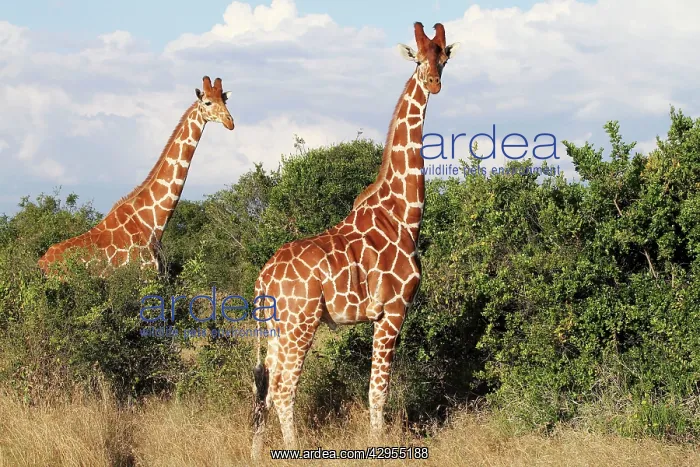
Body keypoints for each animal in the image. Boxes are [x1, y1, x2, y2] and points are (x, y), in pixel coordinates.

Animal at [37, 76, 235, 277]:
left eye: (224, 101)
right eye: (208, 102)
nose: (230, 122)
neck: (153, 224)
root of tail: (41, 263)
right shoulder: (144, 275)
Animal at [250, 22, 459, 458]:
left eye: (444, 58)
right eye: (418, 59)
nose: (433, 83)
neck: (404, 214)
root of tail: (263, 280)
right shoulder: (393, 309)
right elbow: (378, 390)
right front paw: (379, 444)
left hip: (276, 329)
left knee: (266, 389)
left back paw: (256, 455)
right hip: (301, 323)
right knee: (284, 389)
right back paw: (295, 450)